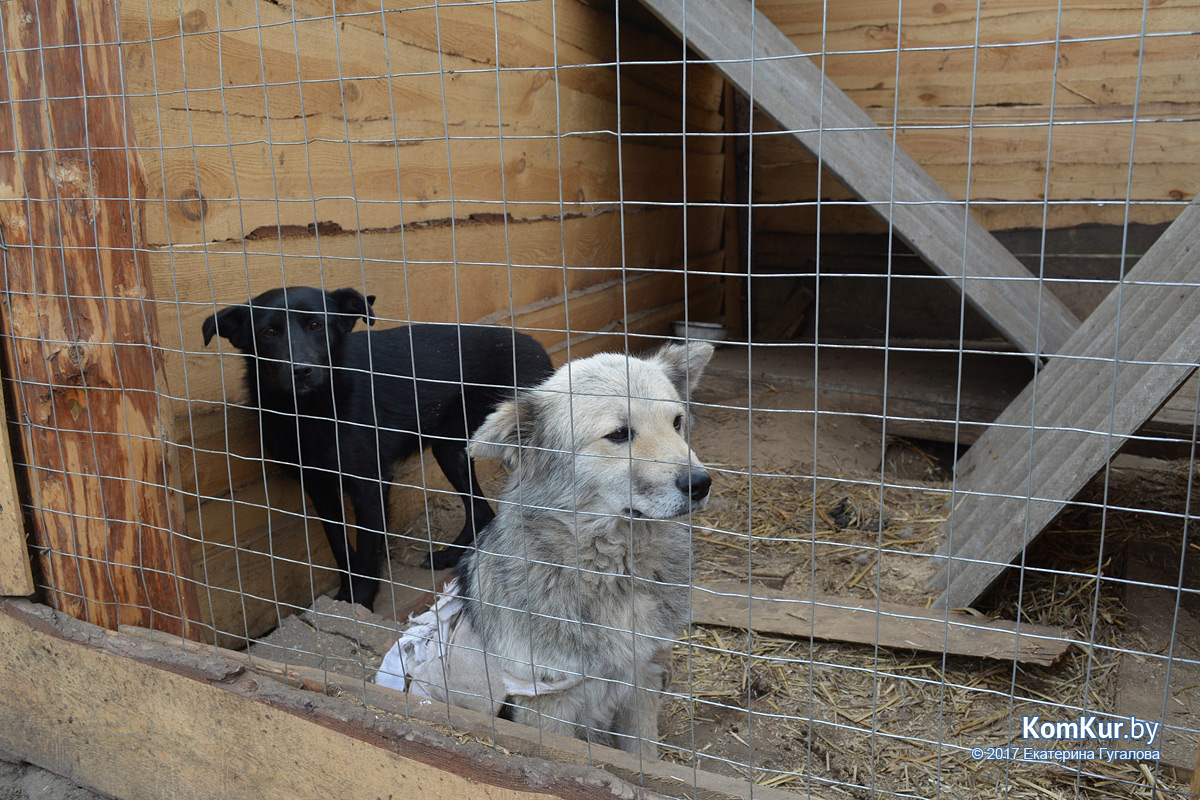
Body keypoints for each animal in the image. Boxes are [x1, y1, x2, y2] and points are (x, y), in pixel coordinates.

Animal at [200, 286, 552, 606]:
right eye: (268, 332)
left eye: (316, 325)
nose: (302, 371)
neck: (310, 409)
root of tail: (536, 346)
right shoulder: (318, 486)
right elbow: (340, 547)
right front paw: (345, 600)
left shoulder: (370, 486)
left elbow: (368, 553)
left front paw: (362, 603)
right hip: (449, 449)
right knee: (480, 510)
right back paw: (448, 556)